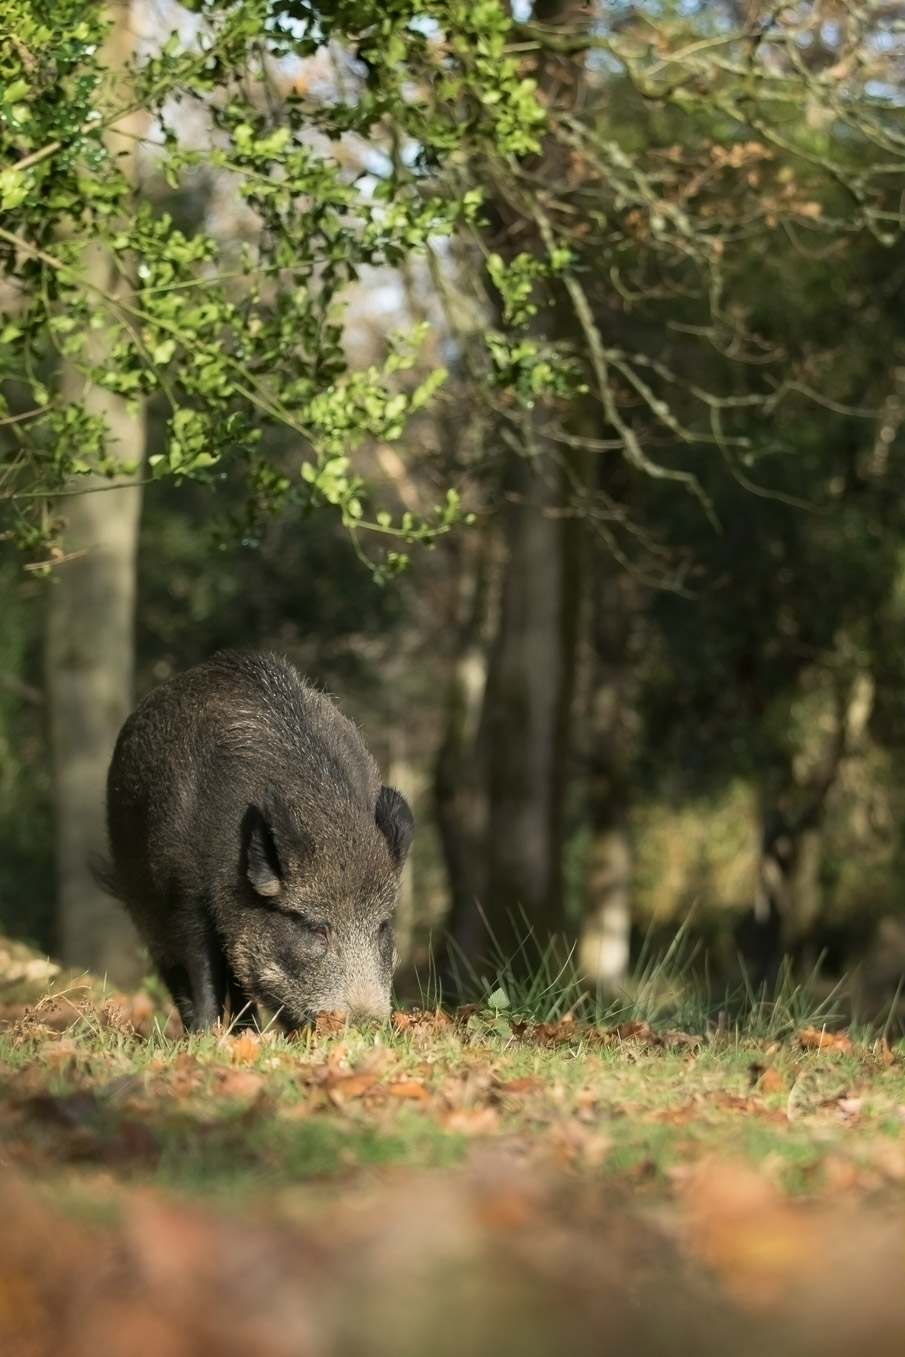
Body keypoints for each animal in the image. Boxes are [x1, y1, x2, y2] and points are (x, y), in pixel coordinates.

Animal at [98, 650, 413, 1031]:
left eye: (382, 926)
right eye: (315, 928)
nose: (368, 1023)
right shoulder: (184, 895)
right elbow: (203, 970)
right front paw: (206, 1035)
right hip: (142, 902)